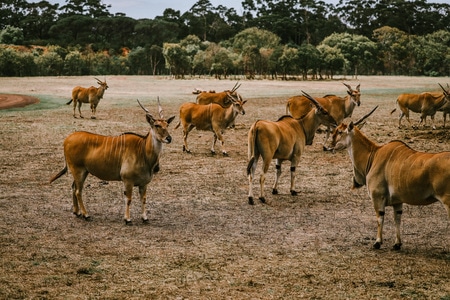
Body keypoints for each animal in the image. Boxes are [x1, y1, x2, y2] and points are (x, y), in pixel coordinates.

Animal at [330, 106, 450, 250]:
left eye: (340, 132)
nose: (328, 146)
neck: (374, 154)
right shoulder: (397, 202)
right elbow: (397, 219)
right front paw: (397, 244)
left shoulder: (377, 197)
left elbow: (379, 218)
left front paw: (377, 242)